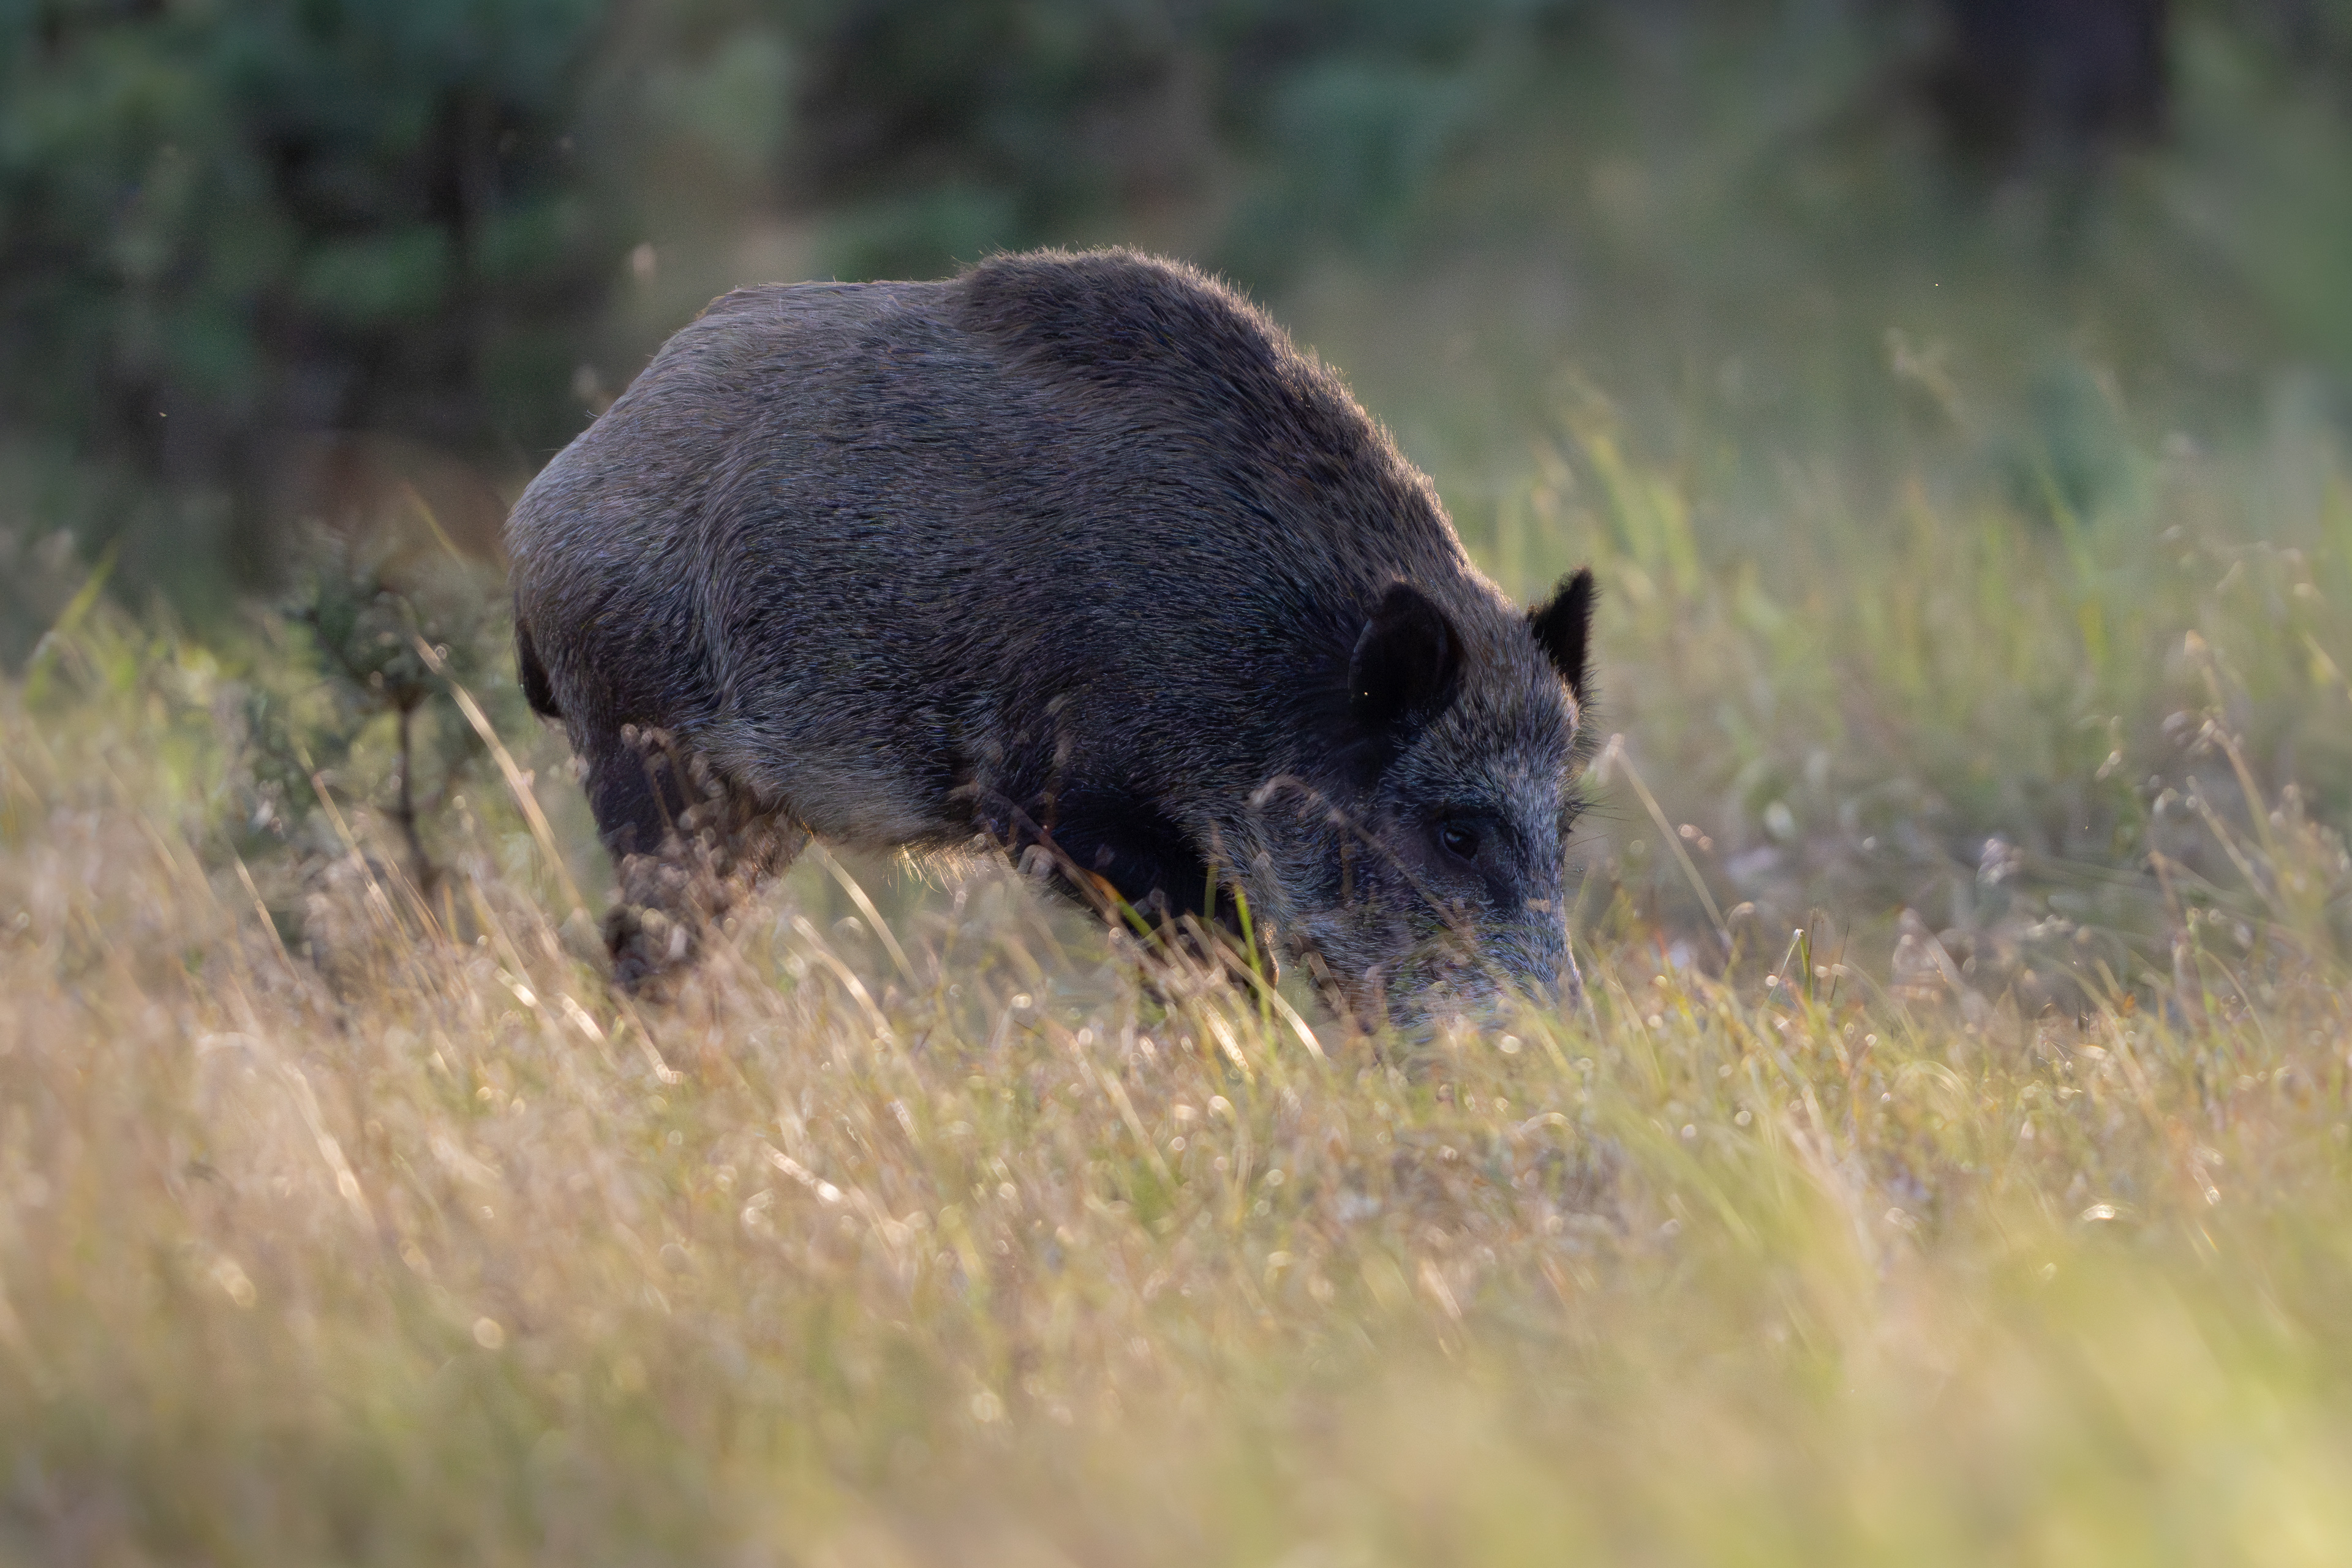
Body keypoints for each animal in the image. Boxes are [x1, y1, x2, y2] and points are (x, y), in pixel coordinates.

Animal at [506, 247, 1595, 1028]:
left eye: (1564, 829)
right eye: (1456, 833)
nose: (1563, 1049)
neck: (1267, 658)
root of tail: (541, 503)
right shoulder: (1053, 800)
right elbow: (1224, 954)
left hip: (755, 813)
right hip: (648, 757)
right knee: (645, 949)